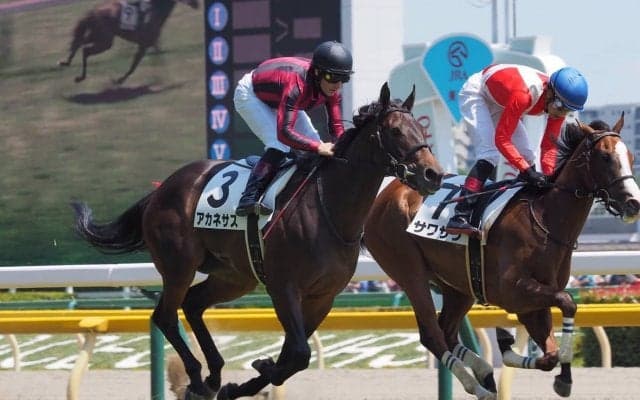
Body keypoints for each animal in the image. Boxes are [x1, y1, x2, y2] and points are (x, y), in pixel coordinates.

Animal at [58, 0, 198, 84]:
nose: (197, 4)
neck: (154, 10)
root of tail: (94, 10)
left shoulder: (151, 43)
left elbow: (158, 60)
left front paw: (161, 79)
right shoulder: (143, 45)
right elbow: (134, 66)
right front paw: (119, 80)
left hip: (98, 36)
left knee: (79, 43)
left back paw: (66, 63)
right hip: (104, 41)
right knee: (85, 50)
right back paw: (79, 76)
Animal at [71, 82, 444, 400]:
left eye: (422, 129)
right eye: (395, 130)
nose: (433, 174)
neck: (328, 208)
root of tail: (161, 190)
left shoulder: (323, 296)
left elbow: (293, 354)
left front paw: (244, 381)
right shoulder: (283, 286)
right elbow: (298, 353)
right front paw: (259, 368)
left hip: (234, 276)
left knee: (192, 304)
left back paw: (215, 376)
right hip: (179, 266)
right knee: (165, 315)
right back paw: (197, 379)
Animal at [363, 115, 640, 400]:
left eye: (630, 156)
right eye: (605, 157)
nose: (634, 203)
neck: (544, 220)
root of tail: (384, 195)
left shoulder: (533, 301)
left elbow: (550, 355)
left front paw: (518, 352)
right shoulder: (513, 291)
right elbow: (567, 302)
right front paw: (559, 374)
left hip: (457, 286)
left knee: (447, 331)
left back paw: (485, 373)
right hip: (410, 272)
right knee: (431, 334)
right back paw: (477, 385)